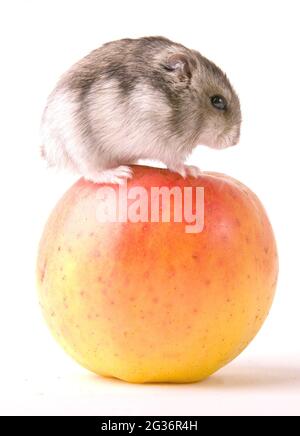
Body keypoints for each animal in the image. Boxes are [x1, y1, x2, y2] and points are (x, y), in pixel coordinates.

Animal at [39, 35, 241, 182]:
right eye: (218, 101)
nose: (235, 141)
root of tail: (47, 151)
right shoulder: (164, 144)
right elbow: (174, 162)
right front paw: (192, 170)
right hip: (79, 145)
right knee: (90, 171)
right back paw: (119, 175)